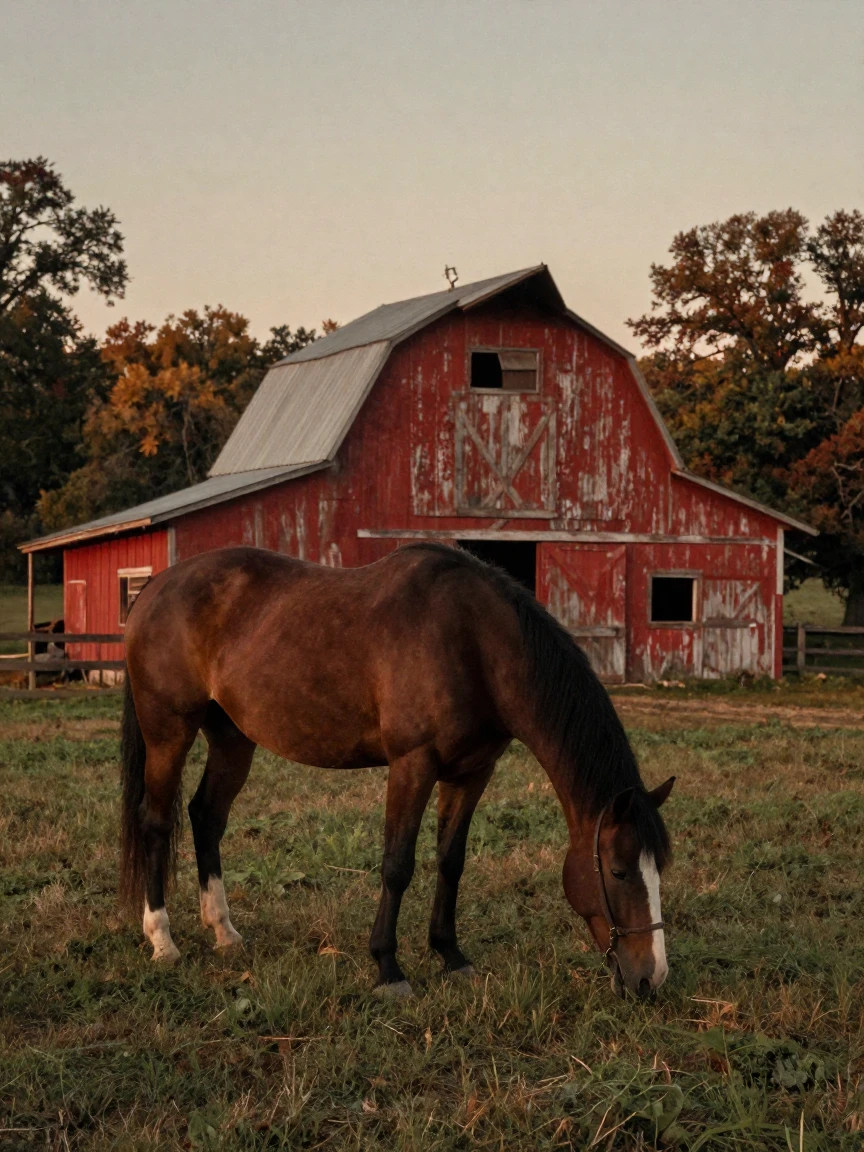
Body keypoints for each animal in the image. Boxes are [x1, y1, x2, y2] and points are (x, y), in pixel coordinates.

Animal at [120, 543, 673, 999]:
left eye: (659, 869)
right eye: (618, 871)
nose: (651, 978)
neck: (474, 641)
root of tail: (157, 586)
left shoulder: (472, 772)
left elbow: (451, 861)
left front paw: (450, 955)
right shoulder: (413, 764)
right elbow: (397, 864)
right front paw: (388, 969)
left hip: (233, 738)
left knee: (207, 815)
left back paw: (224, 931)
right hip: (169, 730)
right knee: (157, 822)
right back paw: (163, 940)